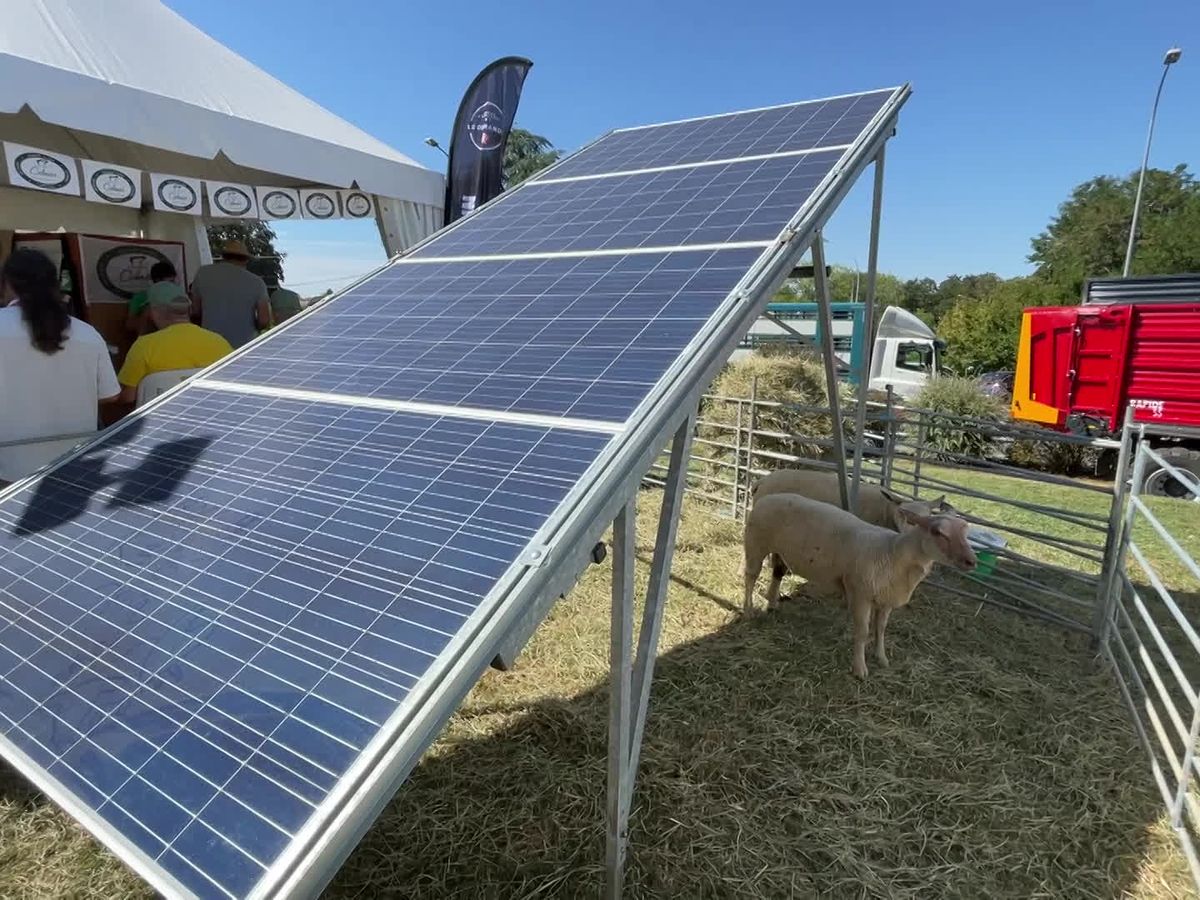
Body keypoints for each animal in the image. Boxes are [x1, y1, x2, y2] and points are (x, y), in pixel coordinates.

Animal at [739, 496, 984, 681]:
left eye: (966, 531)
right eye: (938, 532)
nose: (972, 561)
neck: (893, 553)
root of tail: (765, 497)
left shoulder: (886, 598)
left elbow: (881, 628)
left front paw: (881, 658)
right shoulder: (860, 594)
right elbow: (863, 631)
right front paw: (860, 669)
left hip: (779, 550)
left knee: (777, 572)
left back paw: (773, 603)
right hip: (755, 544)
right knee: (750, 577)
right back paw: (748, 611)